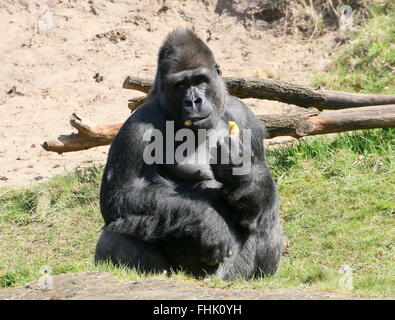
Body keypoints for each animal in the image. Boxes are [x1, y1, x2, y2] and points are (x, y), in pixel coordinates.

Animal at [94, 28, 284, 280]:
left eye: (200, 81)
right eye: (180, 85)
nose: (194, 100)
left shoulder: (244, 116)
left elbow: (260, 182)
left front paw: (238, 168)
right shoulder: (137, 127)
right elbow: (121, 195)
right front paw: (208, 221)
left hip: (231, 274)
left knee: (264, 217)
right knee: (118, 228)